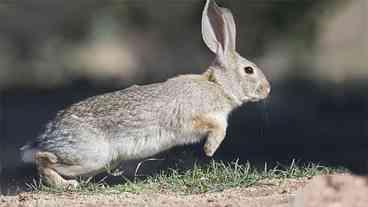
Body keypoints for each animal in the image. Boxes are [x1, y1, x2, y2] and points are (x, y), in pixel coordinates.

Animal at [20, 0, 272, 188]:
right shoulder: (195, 118)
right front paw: (209, 150)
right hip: (91, 157)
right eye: (249, 70)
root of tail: (46, 137)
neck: (218, 85)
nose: (268, 89)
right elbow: (218, 128)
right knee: (43, 160)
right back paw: (66, 184)